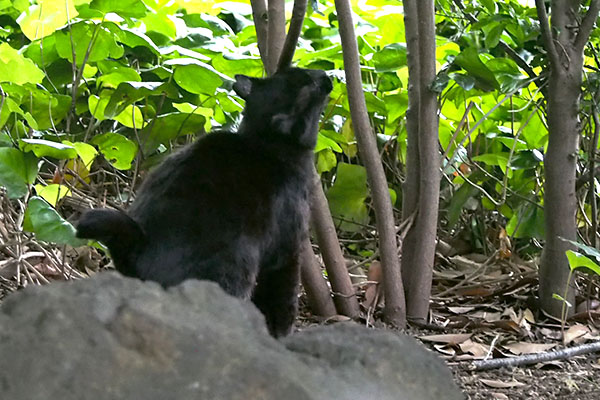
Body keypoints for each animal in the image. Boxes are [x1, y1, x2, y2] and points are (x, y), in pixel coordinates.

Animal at [76, 67, 332, 336]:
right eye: (307, 80)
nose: (326, 75)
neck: (265, 143)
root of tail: (140, 243)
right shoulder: (287, 249)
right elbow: (281, 299)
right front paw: (279, 333)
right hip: (235, 268)